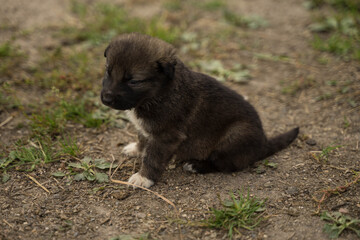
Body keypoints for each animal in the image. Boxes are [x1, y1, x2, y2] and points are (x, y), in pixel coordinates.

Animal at [100, 32, 298, 188]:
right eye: (108, 71)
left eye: (134, 81)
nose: (106, 99)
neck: (160, 92)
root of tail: (263, 143)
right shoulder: (148, 129)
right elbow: (143, 137)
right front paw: (137, 149)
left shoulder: (166, 136)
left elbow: (153, 158)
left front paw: (143, 178)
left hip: (235, 135)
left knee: (225, 164)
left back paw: (196, 166)